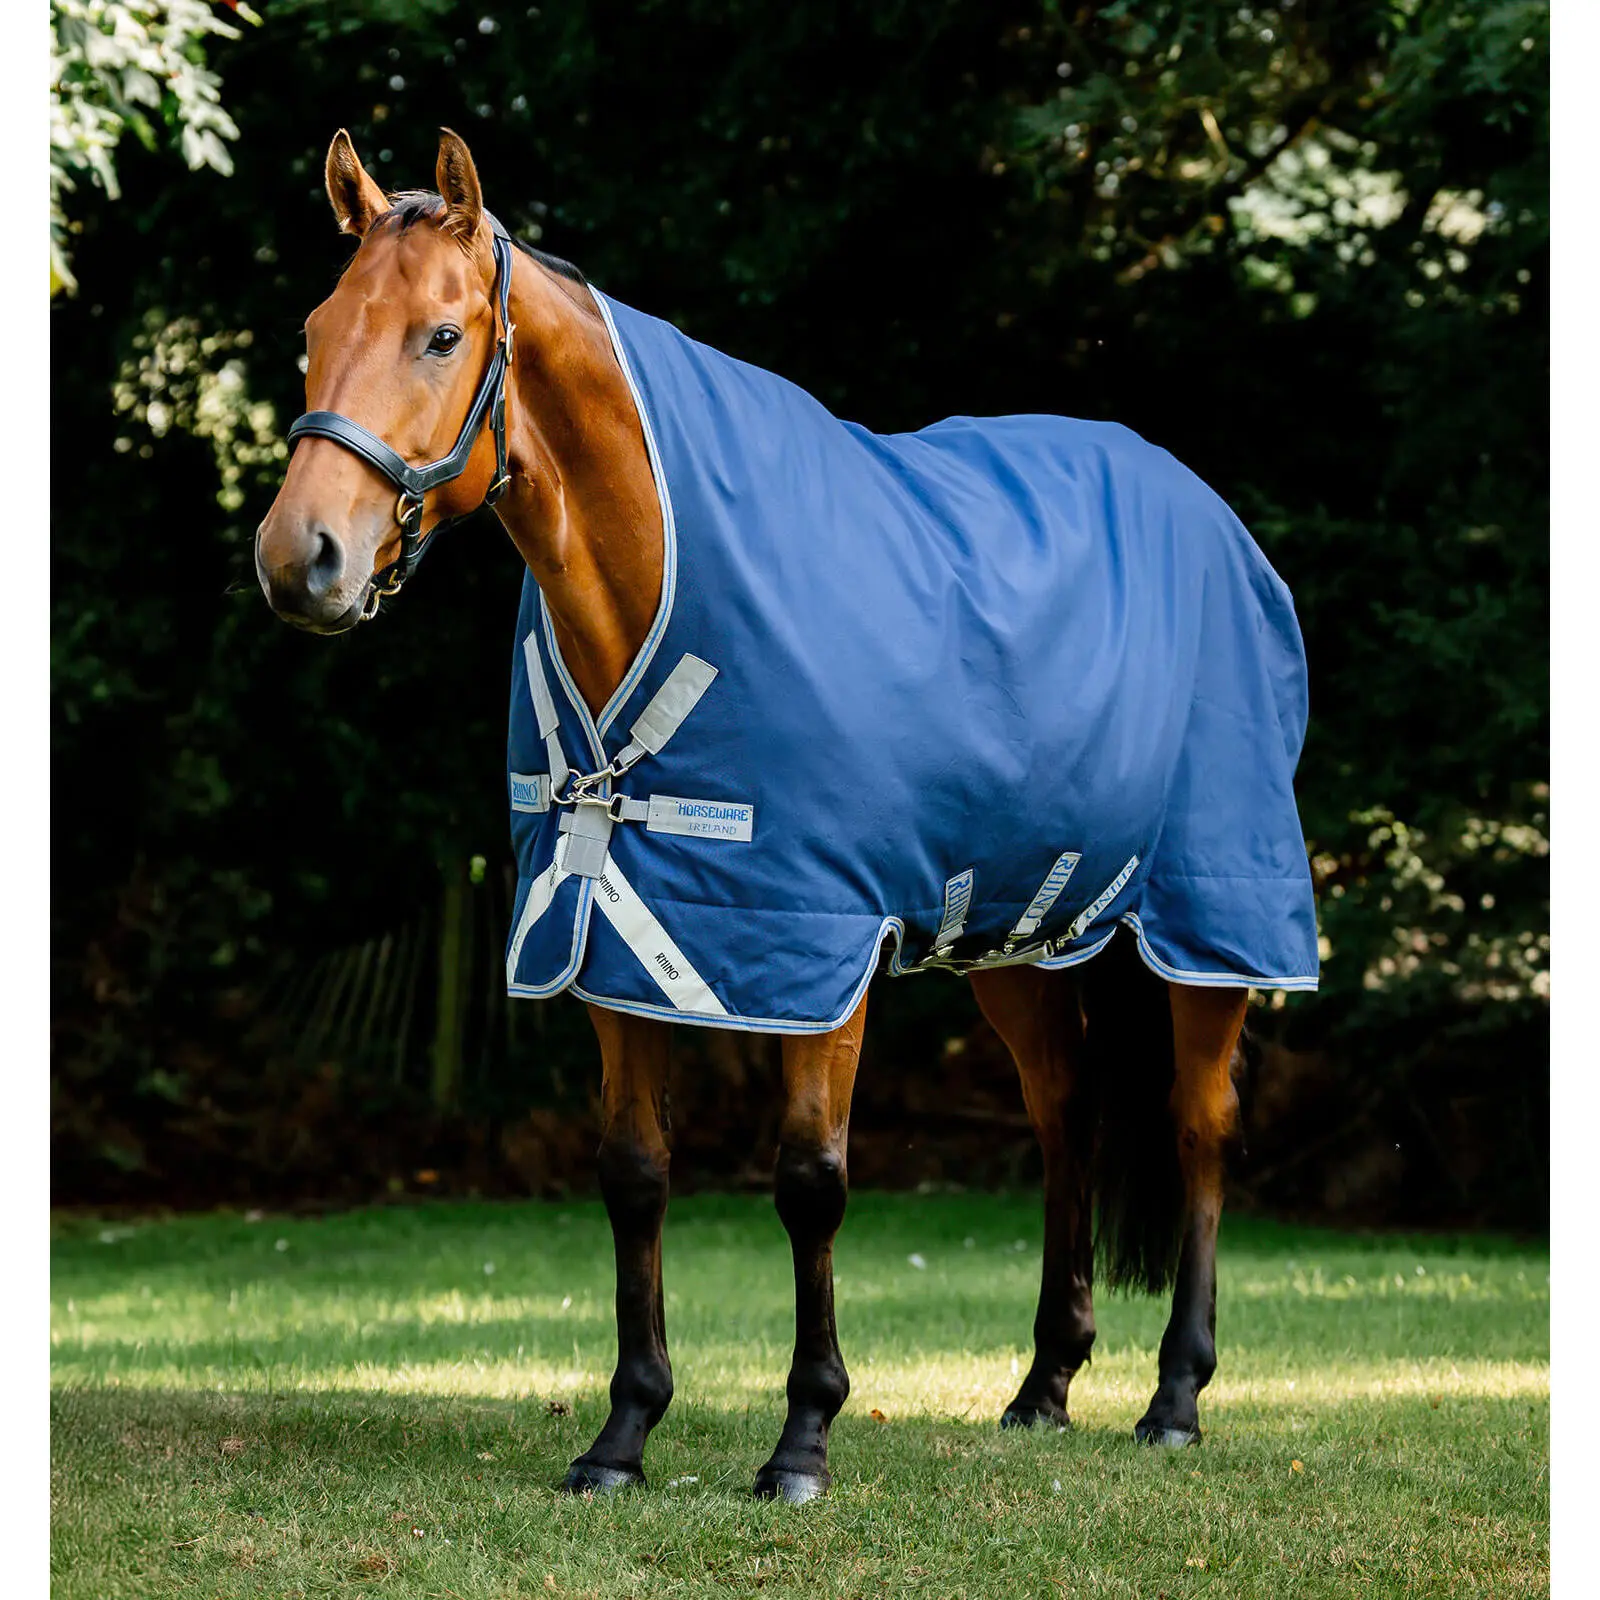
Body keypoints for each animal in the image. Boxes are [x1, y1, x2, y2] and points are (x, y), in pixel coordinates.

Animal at [256, 129, 1318, 1503]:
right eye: (315, 330)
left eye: (441, 336)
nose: (300, 559)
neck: (662, 571)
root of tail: (1210, 513)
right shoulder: (609, 930)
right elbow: (634, 1176)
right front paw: (623, 1434)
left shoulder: (823, 945)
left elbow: (811, 1182)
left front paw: (803, 1436)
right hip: (1018, 935)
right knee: (1066, 1112)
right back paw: (1042, 1384)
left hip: (1210, 918)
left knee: (1197, 1128)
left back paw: (1175, 1395)